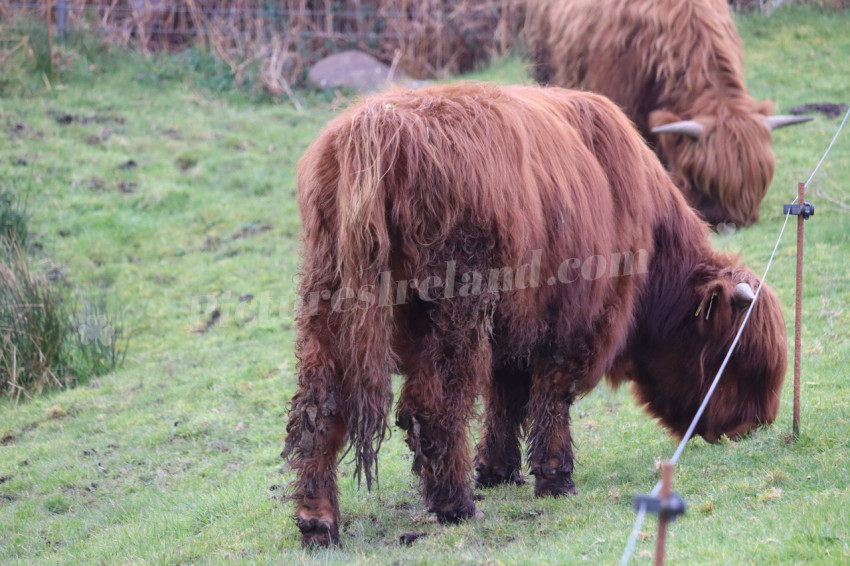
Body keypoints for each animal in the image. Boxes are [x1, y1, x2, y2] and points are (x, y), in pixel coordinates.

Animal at [282, 82, 784, 548]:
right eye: (733, 357)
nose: (753, 425)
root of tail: (376, 127)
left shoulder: (516, 327)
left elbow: (507, 396)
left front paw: (497, 470)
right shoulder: (575, 322)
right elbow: (551, 396)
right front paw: (555, 478)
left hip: (327, 305)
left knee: (319, 412)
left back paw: (318, 522)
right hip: (455, 314)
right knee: (433, 406)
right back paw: (455, 506)